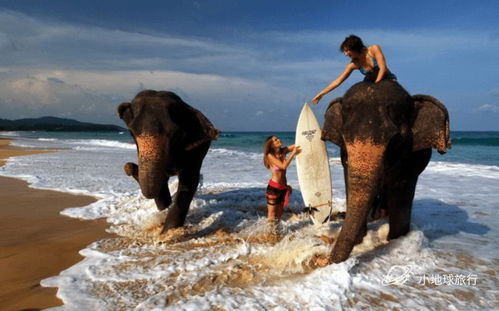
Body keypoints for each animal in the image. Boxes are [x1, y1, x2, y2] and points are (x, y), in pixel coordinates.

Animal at [118, 90, 220, 234]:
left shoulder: (196, 150)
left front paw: (168, 233)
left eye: (175, 133)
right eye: (132, 133)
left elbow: (190, 180)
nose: (129, 167)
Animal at [322, 80, 452, 264]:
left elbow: (401, 191)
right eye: (343, 138)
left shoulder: (410, 161)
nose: (328, 261)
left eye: (395, 141)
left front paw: (395, 239)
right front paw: (361, 239)